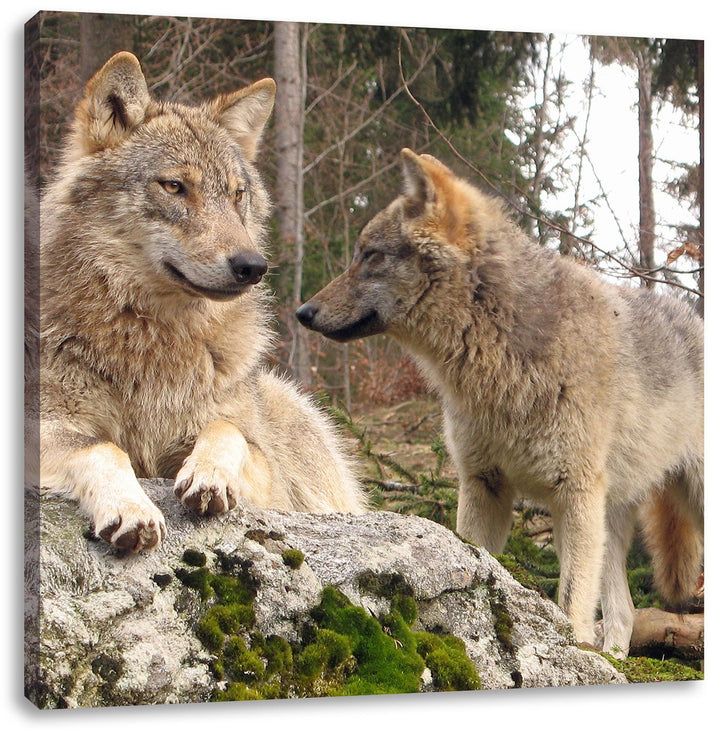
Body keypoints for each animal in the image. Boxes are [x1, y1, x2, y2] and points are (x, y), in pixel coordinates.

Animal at [36, 52, 366, 553]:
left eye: (236, 194)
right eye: (174, 187)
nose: (252, 266)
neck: (151, 337)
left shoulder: (265, 471)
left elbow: (227, 431)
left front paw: (209, 474)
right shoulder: (47, 425)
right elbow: (102, 447)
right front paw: (130, 507)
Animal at [297, 148, 704, 657]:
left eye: (370, 256)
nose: (303, 312)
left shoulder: (574, 494)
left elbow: (571, 601)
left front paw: (568, 652)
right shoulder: (483, 484)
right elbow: (475, 564)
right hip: (610, 521)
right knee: (624, 613)